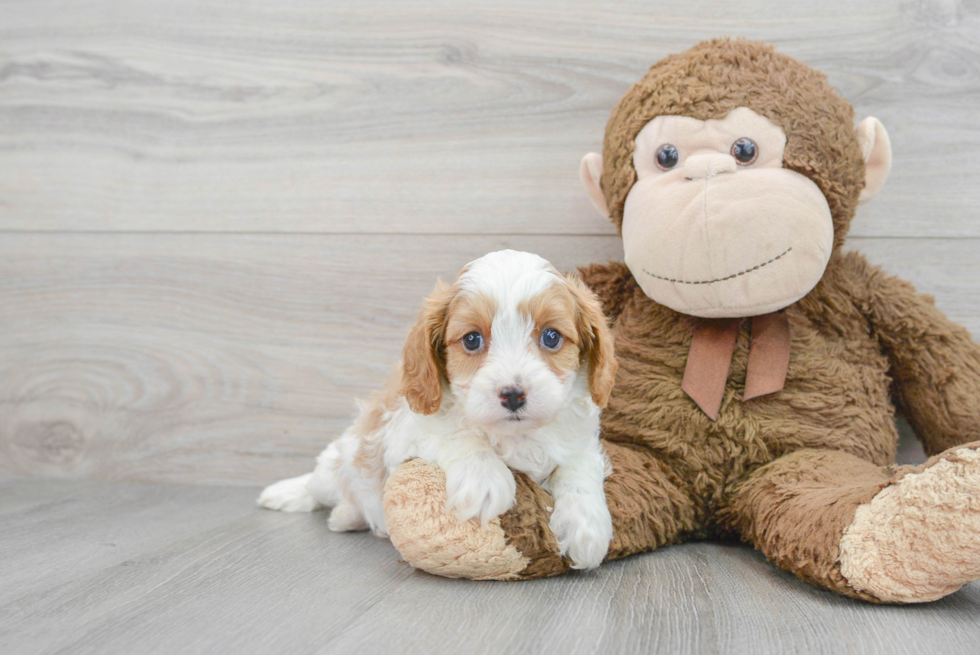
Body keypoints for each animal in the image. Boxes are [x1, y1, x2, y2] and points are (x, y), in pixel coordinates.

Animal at [256, 250, 616, 568]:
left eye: (552, 337)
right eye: (472, 339)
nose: (513, 395)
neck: (515, 435)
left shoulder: (580, 439)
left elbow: (578, 465)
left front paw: (586, 525)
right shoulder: (405, 431)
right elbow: (452, 431)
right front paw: (484, 480)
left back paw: (346, 517)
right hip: (339, 462)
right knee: (318, 484)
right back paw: (289, 494)